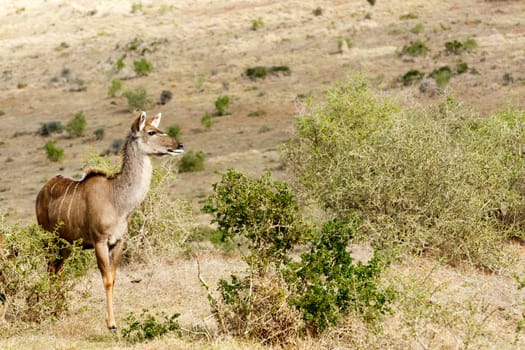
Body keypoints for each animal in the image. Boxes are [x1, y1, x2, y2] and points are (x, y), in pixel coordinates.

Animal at [35, 110, 184, 330]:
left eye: (158, 128)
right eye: (151, 132)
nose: (179, 145)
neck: (117, 199)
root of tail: (42, 191)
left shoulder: (118, 242)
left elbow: (113, 278)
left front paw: (112, 321)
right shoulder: (99, 241)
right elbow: (106, 279)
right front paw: (111, 324)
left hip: (66, 245)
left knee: (57, 270)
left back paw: (59, 309)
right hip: (48, 239)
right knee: (50, 269)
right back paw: (50, 309)